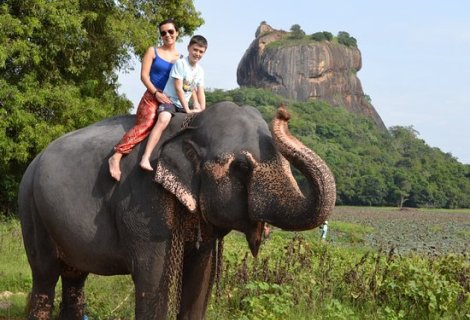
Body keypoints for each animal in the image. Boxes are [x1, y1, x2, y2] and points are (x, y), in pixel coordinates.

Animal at [17, 101, 334, 318]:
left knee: (75, 278)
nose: (284, 113)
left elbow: (201, 276)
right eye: (242, 167)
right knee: (45, 275)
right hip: (31, 209)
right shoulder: (142, 202)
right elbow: (152, 277)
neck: (190, 124)